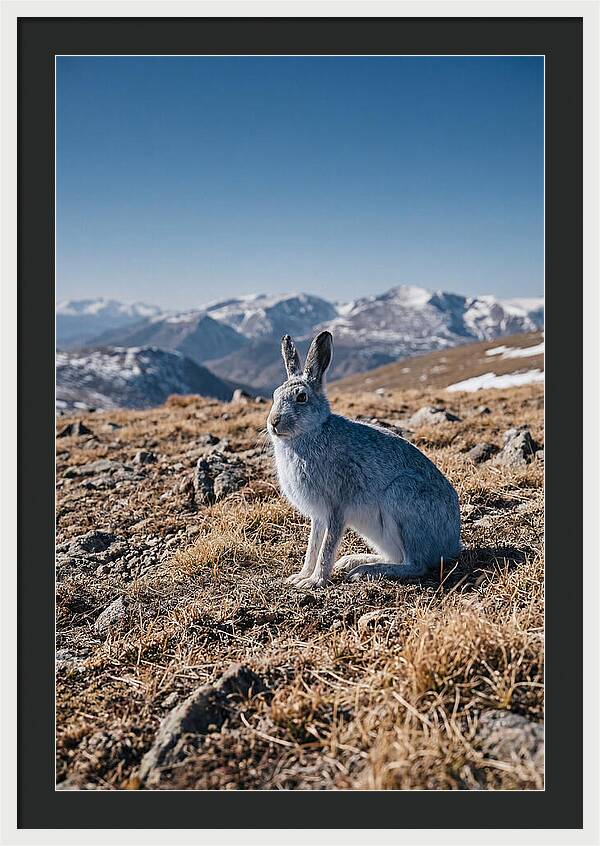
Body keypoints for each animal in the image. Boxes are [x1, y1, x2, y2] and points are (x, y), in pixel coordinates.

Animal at [267, 331, 461, 588]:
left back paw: (366, 570)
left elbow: (326, 547)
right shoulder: (319, 516)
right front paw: (300, 576)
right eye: (275, 395)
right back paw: (353, 561)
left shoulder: (336, 506)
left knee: (415, 564)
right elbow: (313, 546)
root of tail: (452, 545)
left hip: (402, 499)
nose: (273, 422)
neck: (311, 432)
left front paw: (315, 581)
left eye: (301, 397)